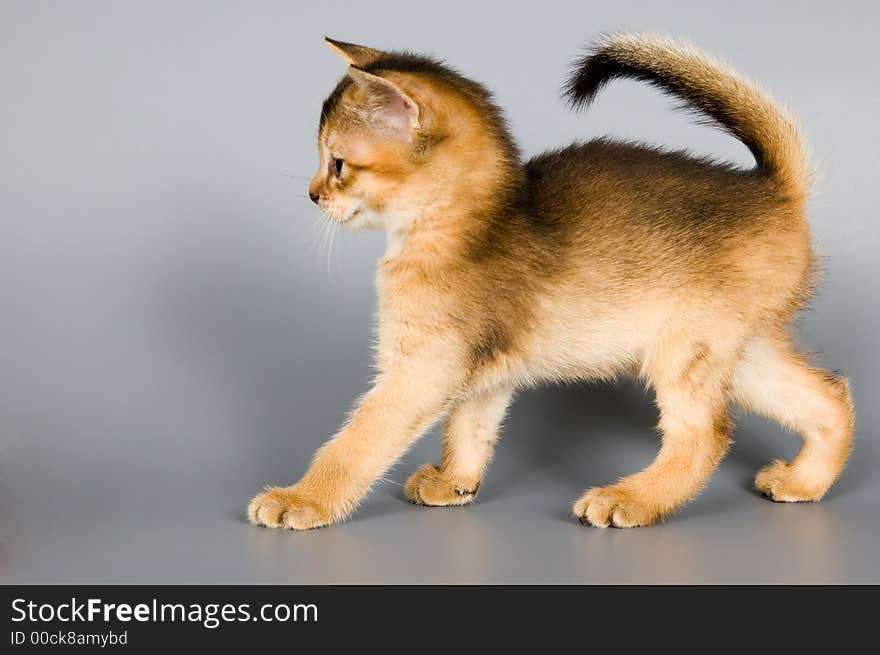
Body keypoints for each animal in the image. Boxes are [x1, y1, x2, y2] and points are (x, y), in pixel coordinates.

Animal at [248, 33, 852, 532]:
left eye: (338, 164)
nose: (312, 194)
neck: (467, 224)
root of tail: (773, 190)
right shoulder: (482, 369)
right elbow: (469, 427)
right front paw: (455, 483)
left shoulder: (422, 368)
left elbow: (356, 442)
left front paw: (302, 499)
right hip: (740, 351)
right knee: (830, 395)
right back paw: (804, 482)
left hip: (685, 346)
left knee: (707, 434)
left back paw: (630, 499)